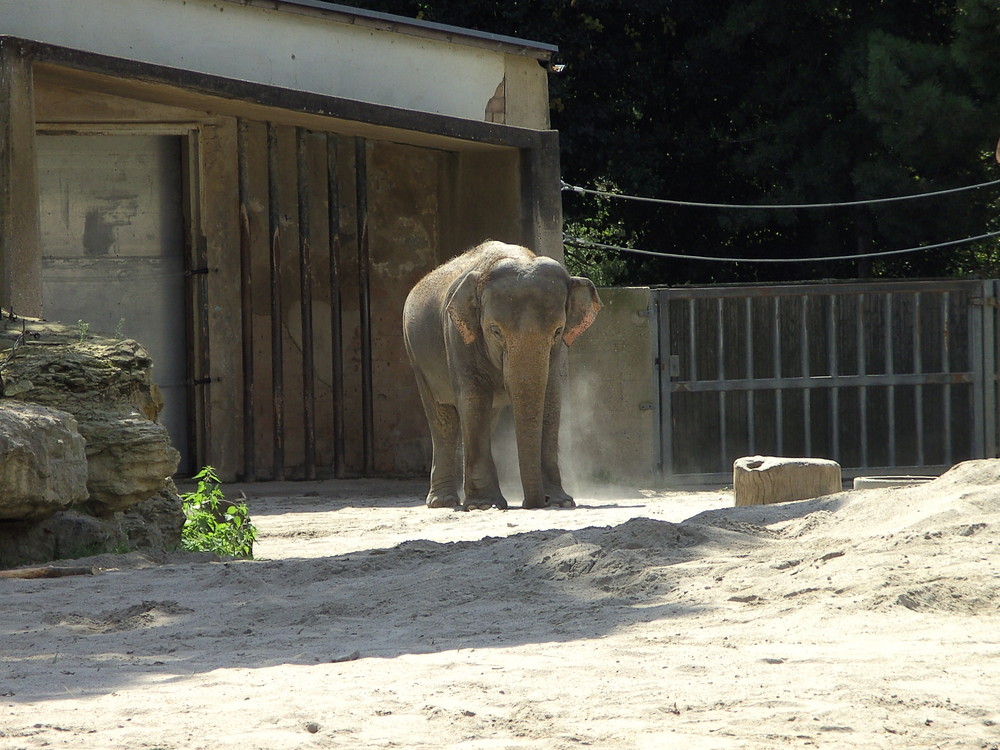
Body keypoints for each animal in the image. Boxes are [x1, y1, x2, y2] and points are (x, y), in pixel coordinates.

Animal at [404, 241, 600, 512]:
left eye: (558, 330)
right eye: (495, 331)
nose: (534, 503)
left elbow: (550, 399)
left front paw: (561, 502)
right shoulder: (456, 334)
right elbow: (474, 400)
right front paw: (484, 505)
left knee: (487, 418)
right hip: (416, 357)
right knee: (443, 420)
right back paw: (443, 502)